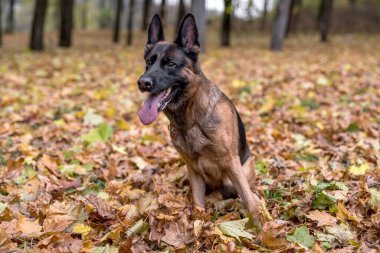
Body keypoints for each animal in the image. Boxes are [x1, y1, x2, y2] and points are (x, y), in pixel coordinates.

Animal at [138, 13, 262, 227]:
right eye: (148, 62)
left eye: (170, 64)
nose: (142, 83)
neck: (190, 120)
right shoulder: (193, 168)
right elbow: (197, 203)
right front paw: (197, 225)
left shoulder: (231, 162)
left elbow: (250, 202)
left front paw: (261, 230)